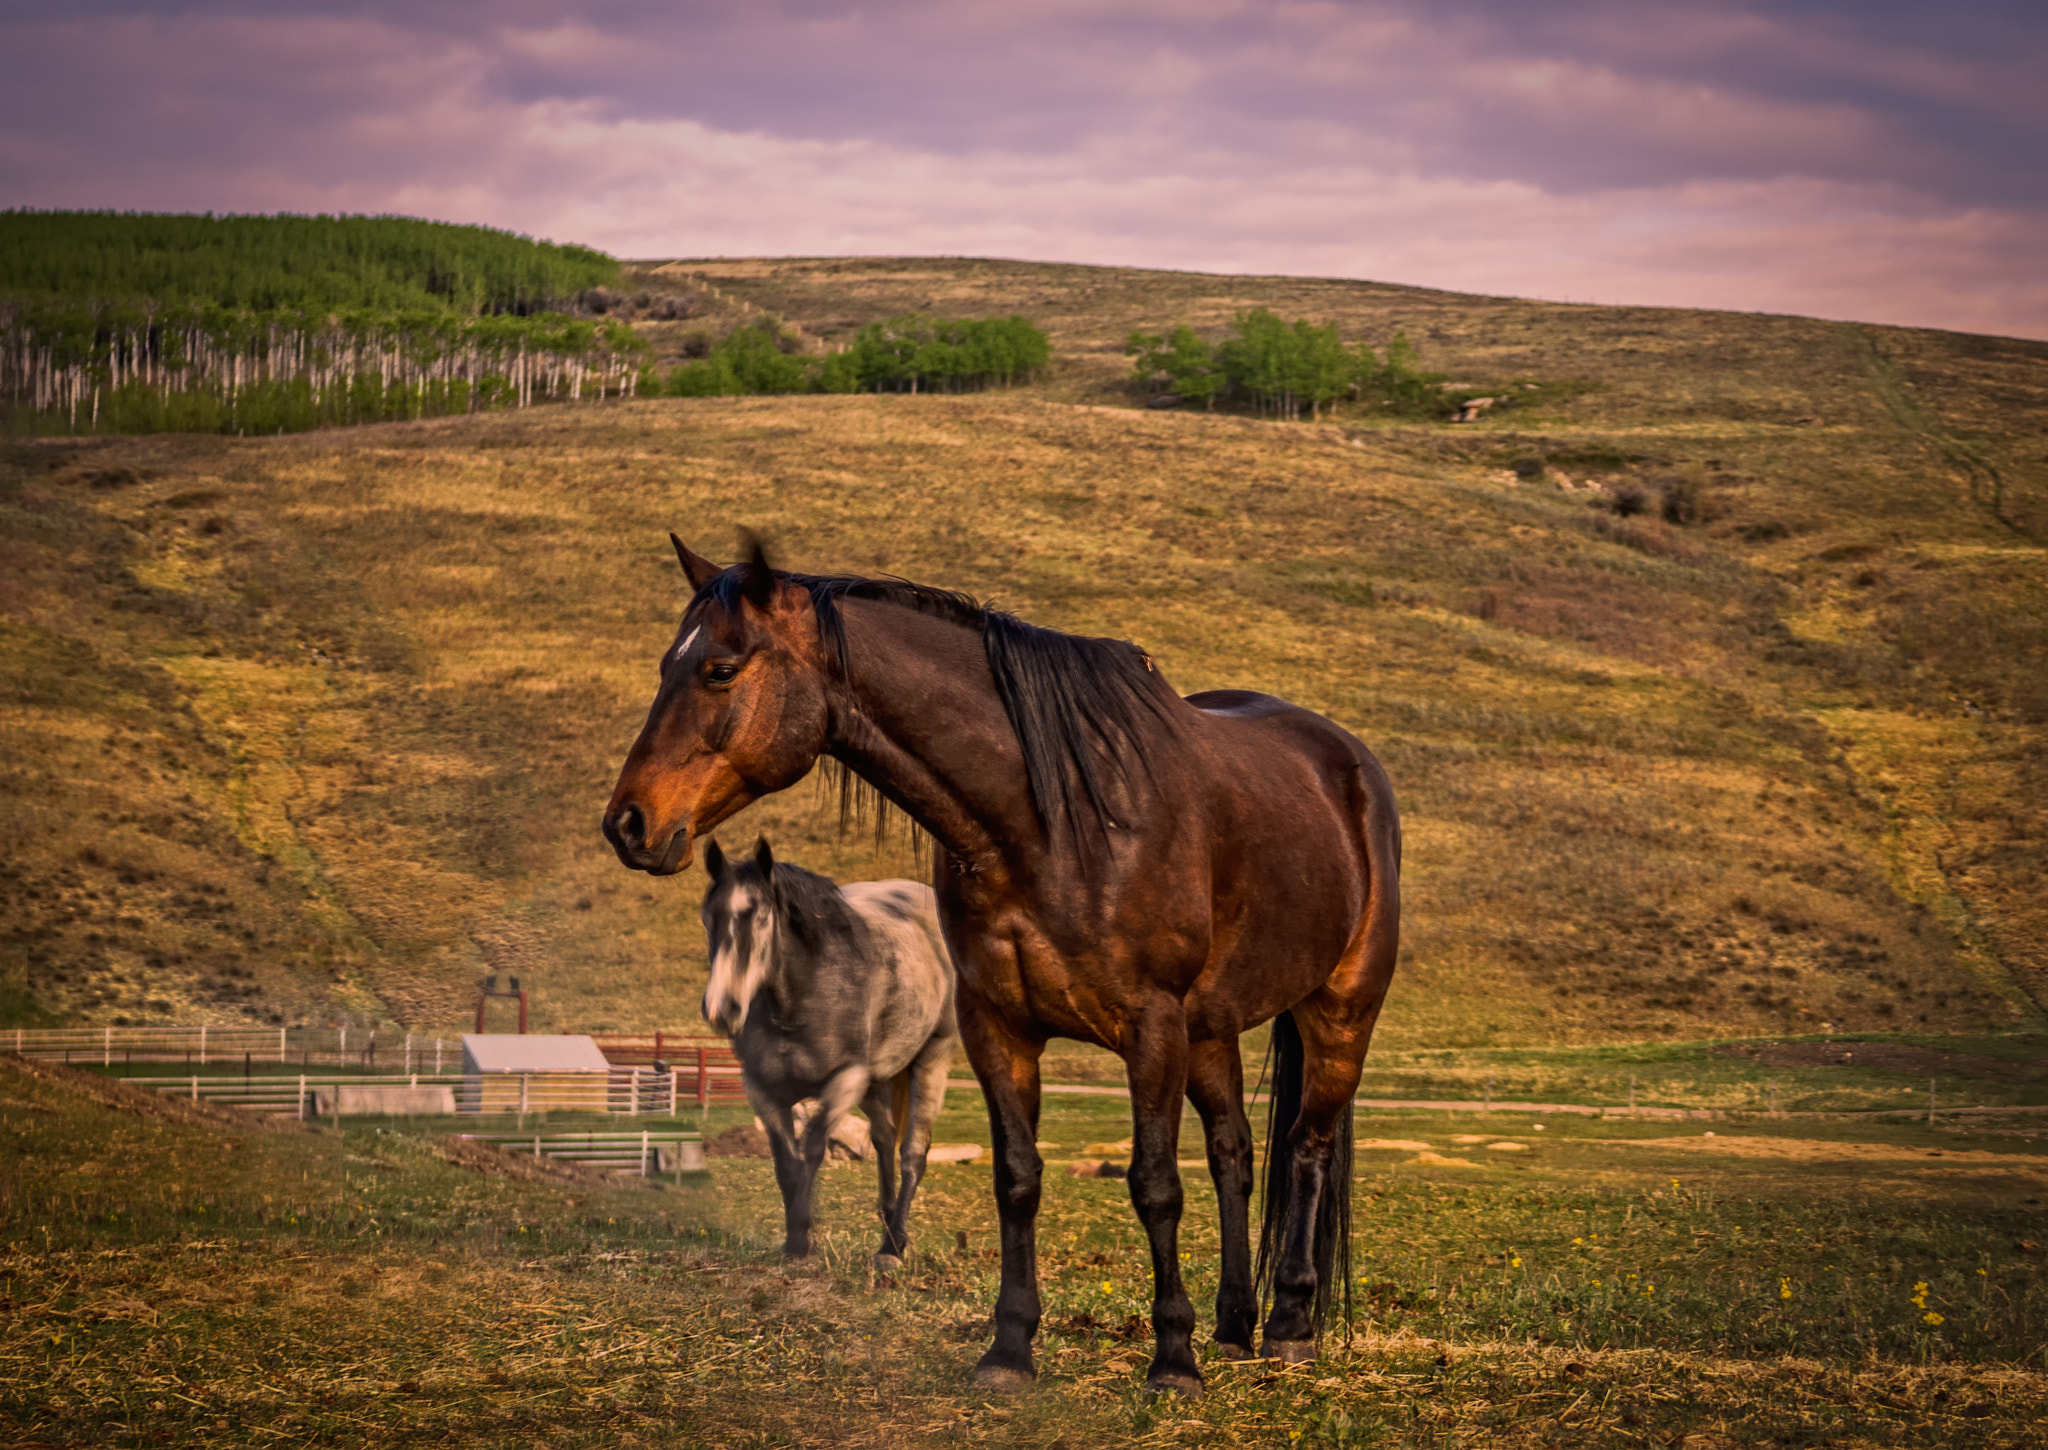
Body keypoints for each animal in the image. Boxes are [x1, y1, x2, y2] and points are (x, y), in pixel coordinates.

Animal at [698, 835, 958, 1270]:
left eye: (760, 915)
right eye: (708, 918)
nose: (723, 1008)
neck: (804, 996)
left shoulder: (846, 1081)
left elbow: (813, 1149)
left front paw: (804, 1237)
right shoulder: (762, 1090)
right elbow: (787, 1163)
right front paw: (795, 1242)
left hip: (932, 1060)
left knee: (912, 1152)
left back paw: (892, 1247)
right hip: (878, 1081)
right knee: (884, 1139)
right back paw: (888, 1226)